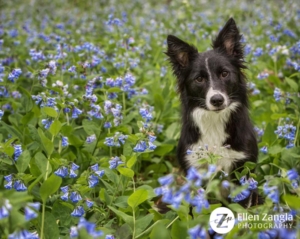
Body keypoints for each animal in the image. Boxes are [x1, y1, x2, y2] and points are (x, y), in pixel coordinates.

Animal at [166, 17, 260, 206]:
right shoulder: (194, 166)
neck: (214, 122)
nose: (217, 100)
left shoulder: (242, 166)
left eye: (224, 73)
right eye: (199, 79)